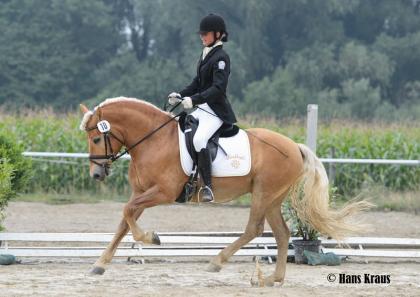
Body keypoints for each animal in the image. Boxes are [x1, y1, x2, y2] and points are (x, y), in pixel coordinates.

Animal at [79, 96, 370, 286]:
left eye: (97, 138)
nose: (96, 175)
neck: (153, 140)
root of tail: (294, 146)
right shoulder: (140, 192)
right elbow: (124, 221)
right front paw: (100, 264)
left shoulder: (163, 192)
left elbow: (127, 213)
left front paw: (152, 238)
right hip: (272, 198)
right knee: (282, 233)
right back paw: (272, 279)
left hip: (263, 193)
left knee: (254, 229)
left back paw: (217, 261)